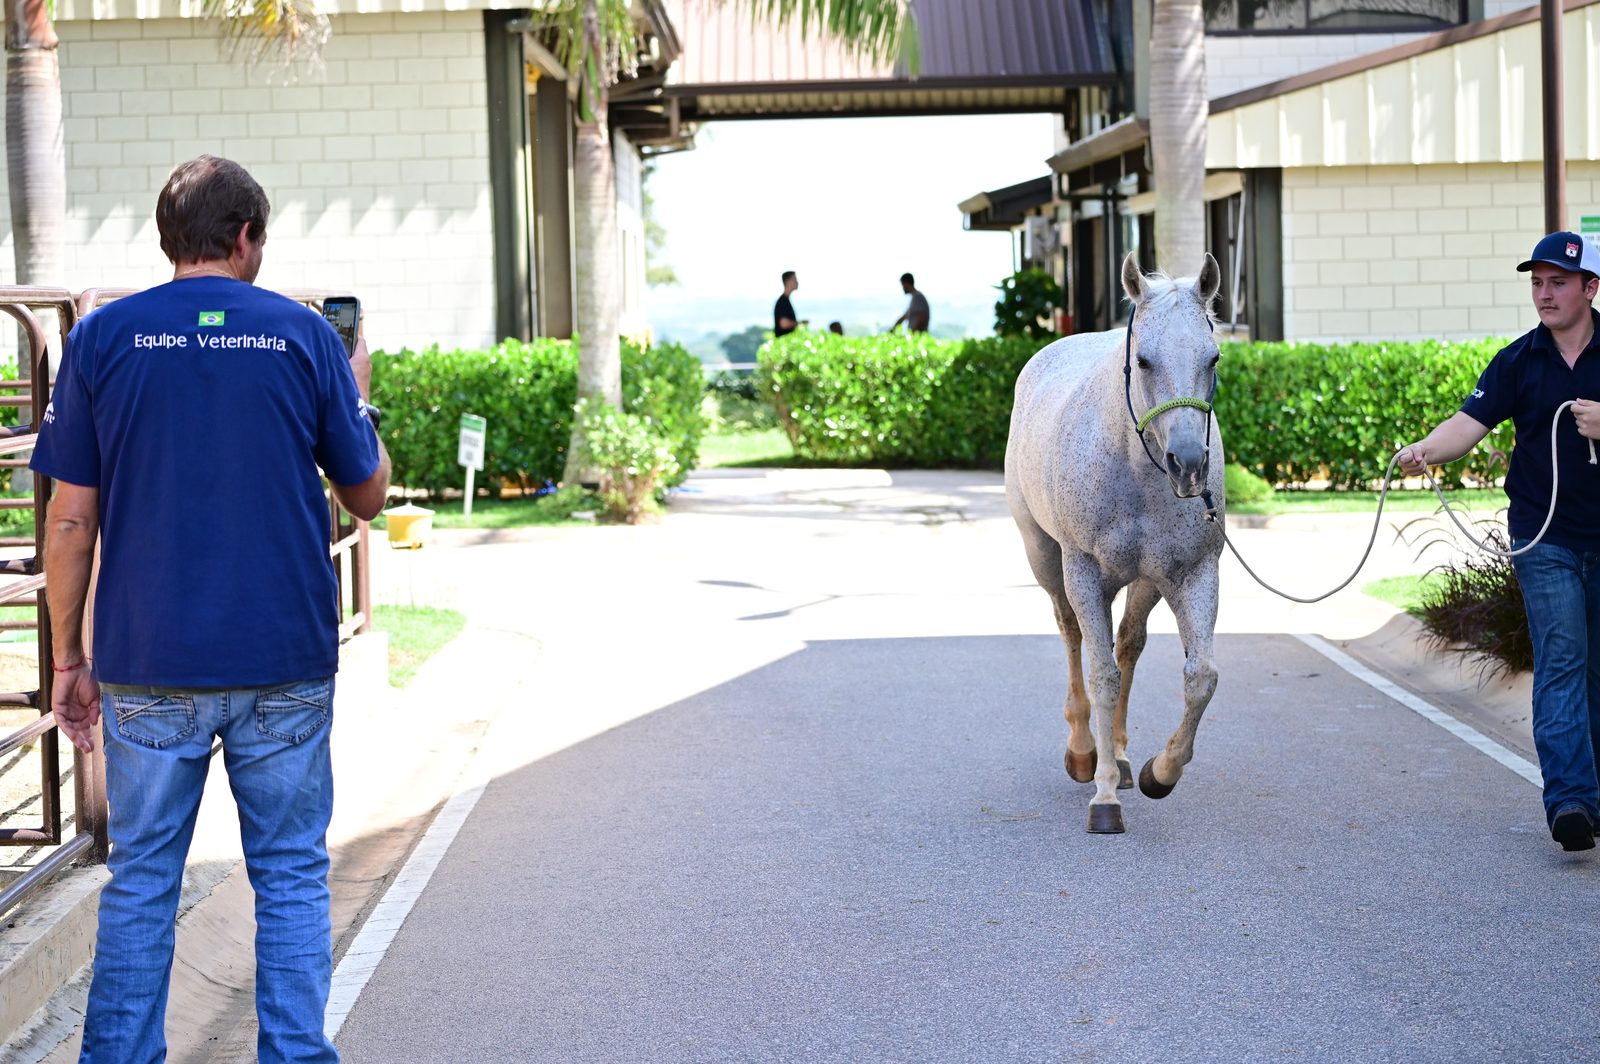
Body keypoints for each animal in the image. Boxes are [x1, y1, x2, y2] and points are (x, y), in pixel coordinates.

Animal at [1004, 252, 1226, 834]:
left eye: (1213, 357)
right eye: (1144, 361)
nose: (1189, 465)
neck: (1137, 473)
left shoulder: (1192, 572)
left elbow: (1200, 677)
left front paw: (1159, 772)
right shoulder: (1082, 570)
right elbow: (1101, 673)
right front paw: (1103, 795)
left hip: (1144, 582)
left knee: (1129, 643)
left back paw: (1122, 758)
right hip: (1046, 559)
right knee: (1071, 635)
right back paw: (1086, 752)